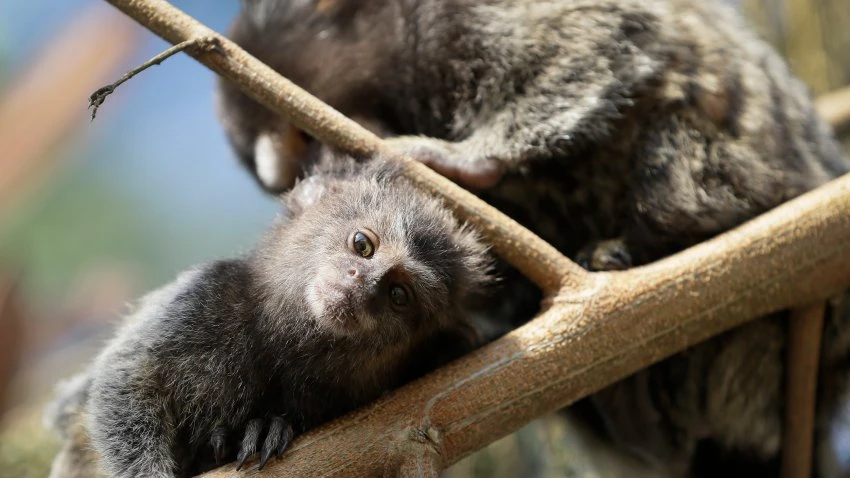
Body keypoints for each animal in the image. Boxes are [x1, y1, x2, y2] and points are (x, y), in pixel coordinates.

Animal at [44, 155, 494, 477]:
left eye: (398, 296)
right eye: (363, 244)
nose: (362, 284)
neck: (280, 340)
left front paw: (266, 428)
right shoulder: (202, 297)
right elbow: (126, 381)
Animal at [215, 0, 850, 476]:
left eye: (303, 136)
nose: (307, 166)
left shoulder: (467, 18)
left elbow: (597, 35)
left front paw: (468, 161)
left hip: (734, 173)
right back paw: (635, 417)